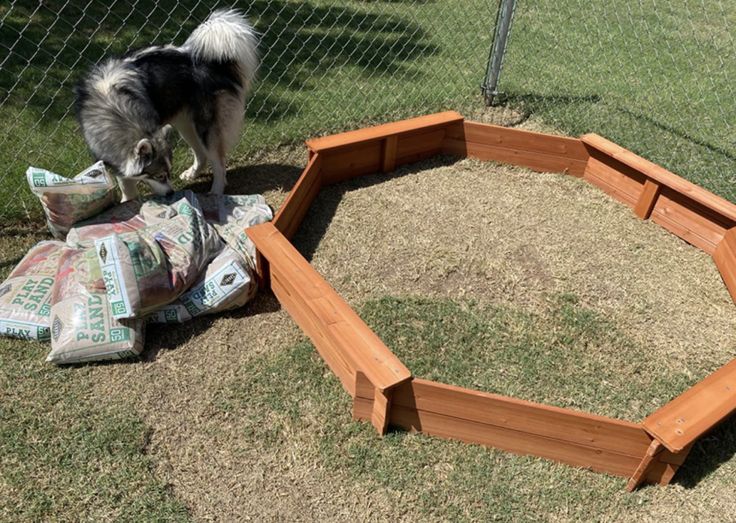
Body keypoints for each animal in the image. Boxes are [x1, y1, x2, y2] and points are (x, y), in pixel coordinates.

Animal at [75, 10, 258, 203]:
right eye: (159, 176)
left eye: (168, 173)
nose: (171, 194)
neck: (114, 107)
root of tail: (205, 59)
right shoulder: (115, 159)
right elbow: (126, 184)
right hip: (185, 124)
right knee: (201, 154)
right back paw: (193, 173)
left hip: (206, 127)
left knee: (218, 163)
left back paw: (216, 191)